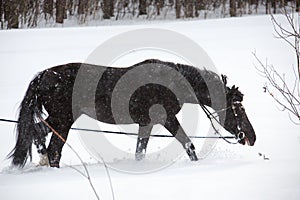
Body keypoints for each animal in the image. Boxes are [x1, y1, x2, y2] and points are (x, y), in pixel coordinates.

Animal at [8, 59, 255, 167]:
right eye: (239, 109)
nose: (251, 137)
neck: (170, 82)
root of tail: (44, 75)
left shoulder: (146, 124)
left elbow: (140, 151)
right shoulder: (168, 119)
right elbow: (188, 144)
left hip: (59, 119)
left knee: (37, 131)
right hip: (63, 120)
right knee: (53, 150)